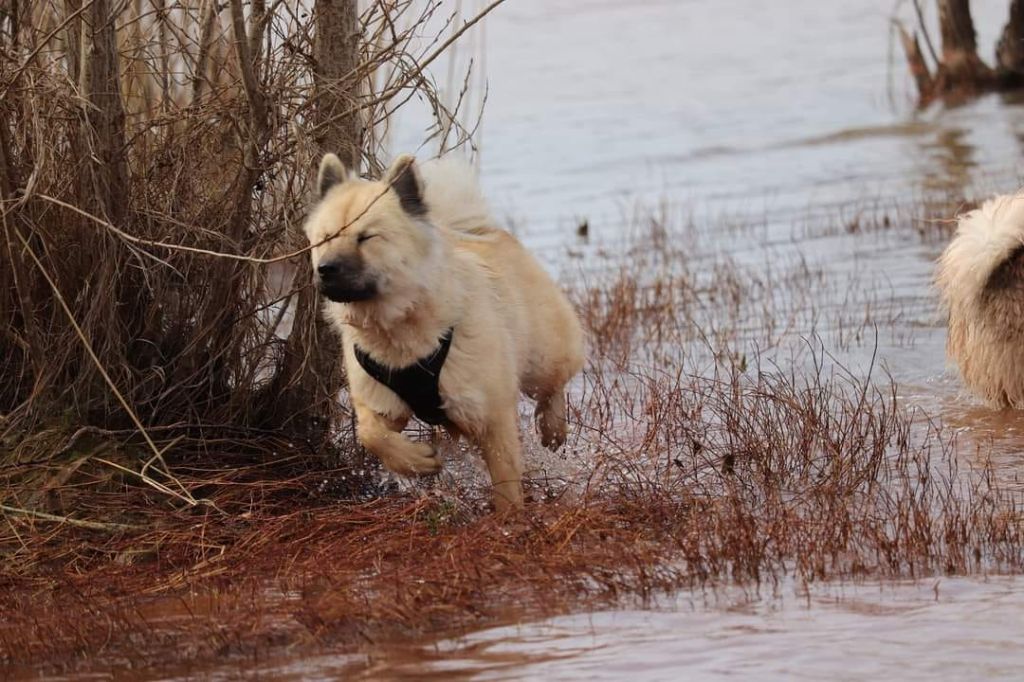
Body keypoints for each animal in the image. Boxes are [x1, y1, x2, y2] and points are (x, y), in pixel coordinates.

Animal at [303, 151, 585, 507]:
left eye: (366, 237)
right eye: (325, 238)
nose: (325, 269)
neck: (400, 330)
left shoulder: (490, 415)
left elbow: (506, 482)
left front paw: (510, 518)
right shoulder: (380, 400)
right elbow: (371, 435)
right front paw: (417, 462)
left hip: (542, 359)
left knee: (554, 385)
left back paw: (553, 427)